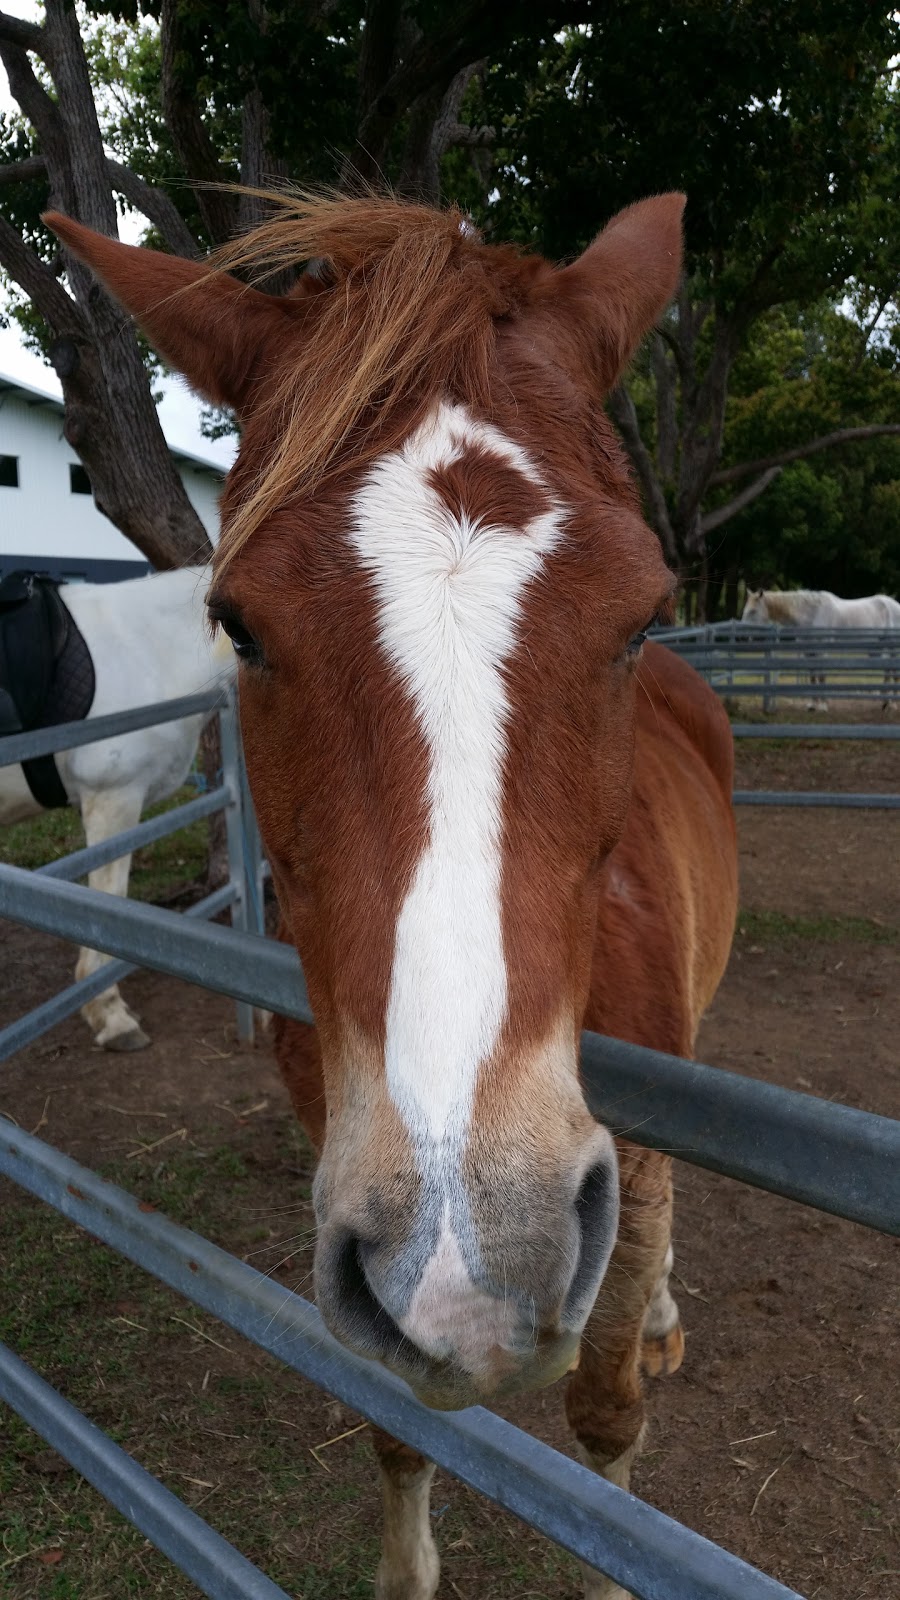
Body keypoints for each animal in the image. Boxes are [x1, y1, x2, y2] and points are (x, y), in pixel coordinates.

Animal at [45, 193, 736, 1593]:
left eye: (644, 615)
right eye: (238, 624)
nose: (478, 1253)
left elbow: (608, 1426)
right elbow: (397, 1422)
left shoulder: (626, 1176)